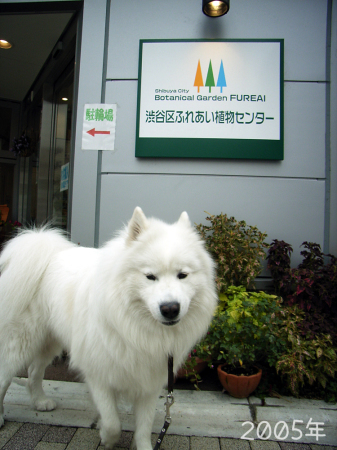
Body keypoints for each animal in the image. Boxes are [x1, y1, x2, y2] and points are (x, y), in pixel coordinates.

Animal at [0, 208, 215, 450]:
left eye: (183, 275)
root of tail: (47, 251)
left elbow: (144, 426)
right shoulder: (98, 373)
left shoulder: (149, 380)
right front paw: (105, 436)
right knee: (5, 377)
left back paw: (40, 402)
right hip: (20, 341)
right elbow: (113, 423)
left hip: (49, 341)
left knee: (33, 371)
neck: (133, 326)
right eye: (150, 276)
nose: (170, 309)